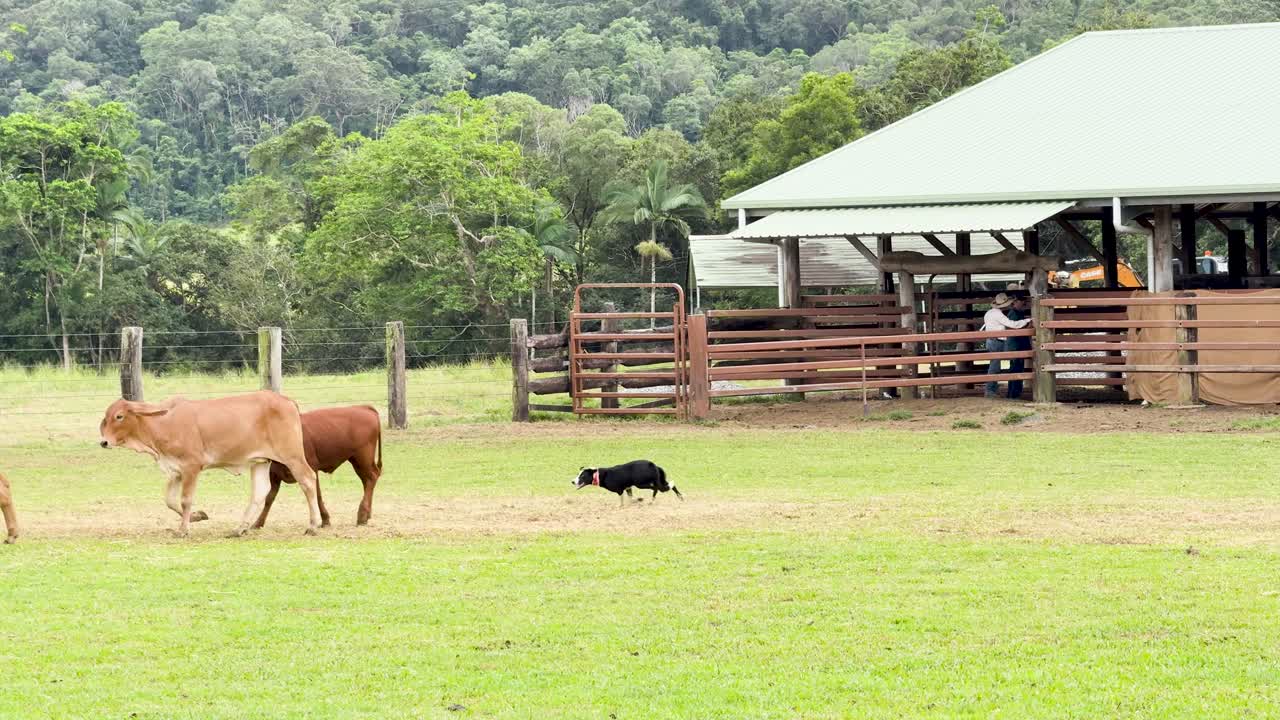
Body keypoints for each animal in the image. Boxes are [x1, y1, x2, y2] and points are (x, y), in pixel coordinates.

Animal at [98, 391, 323, 537]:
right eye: (106, 417)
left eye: (119, 416)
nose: (104, 442)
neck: (164, 423)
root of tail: (287, 401)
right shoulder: (176, 471)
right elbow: (169, 500)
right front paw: (197, 516)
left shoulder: (191, 467)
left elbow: (185, 499)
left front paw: (183, 529)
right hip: (260, 461)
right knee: (260, 492)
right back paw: (240, 528)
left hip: (292, 455)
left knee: (307, 479)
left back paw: (313, 525)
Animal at [253, 405, 383, 529]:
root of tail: (363, 407)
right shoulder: (274, 475)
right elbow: (269, 498)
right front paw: (257, 523)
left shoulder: (312, 469)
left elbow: (317, 495)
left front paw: (325, 520)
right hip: (357, 461)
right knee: (366, 480)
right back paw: (367, 514)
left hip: (363, 457)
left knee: (372, 477)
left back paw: (362, 516)